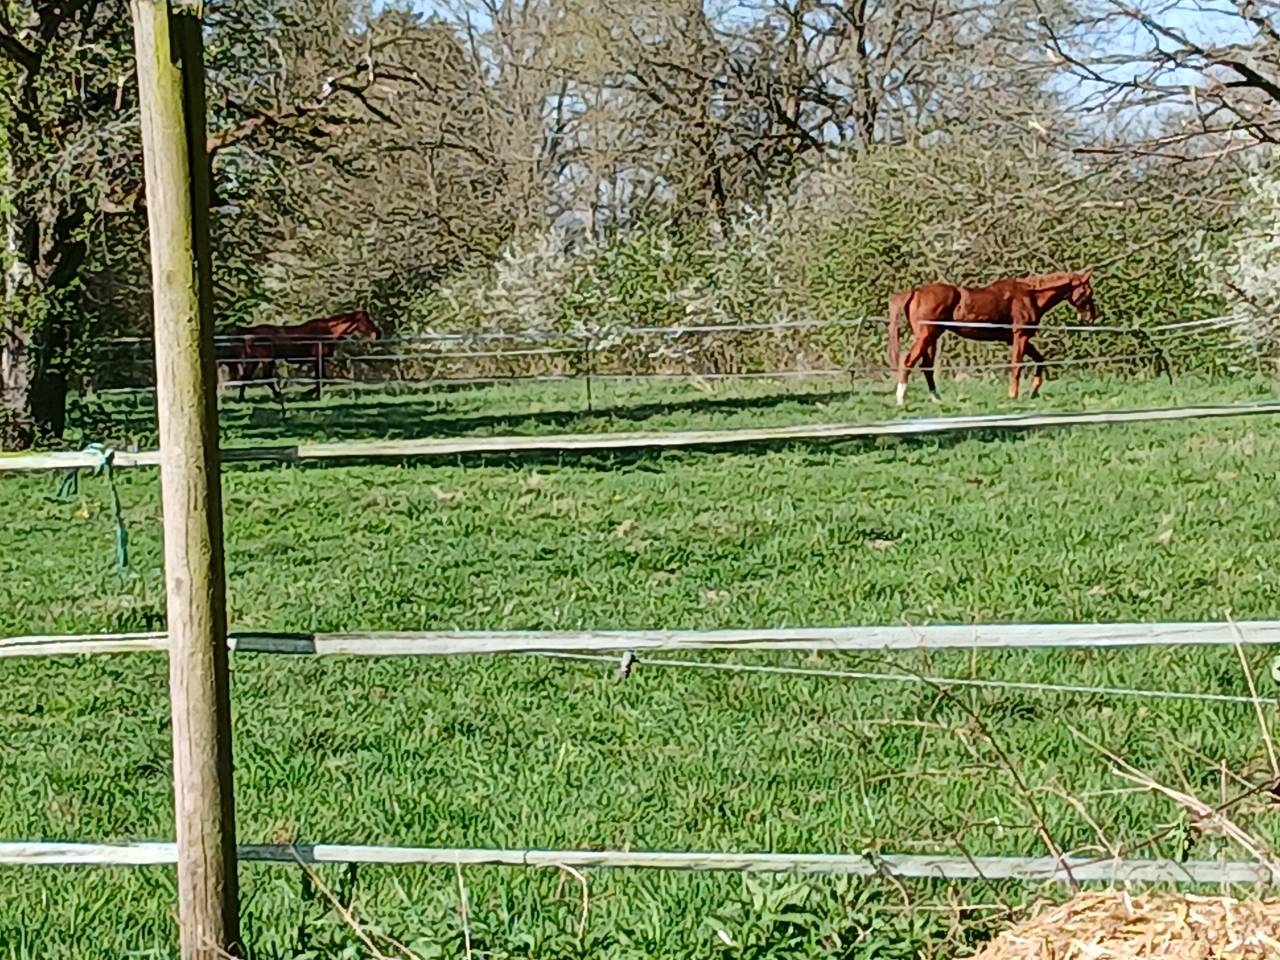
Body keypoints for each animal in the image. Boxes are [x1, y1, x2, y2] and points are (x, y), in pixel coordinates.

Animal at [219, 309, 381, 402]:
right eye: (367, 320)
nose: (378, 334)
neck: (328, 331)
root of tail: (249, 333)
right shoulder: (318, 360)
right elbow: (321, 379)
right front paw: (309, 395)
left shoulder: (318, 361)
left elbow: (322, 379)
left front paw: (312, 395)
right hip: (267, 361)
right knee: (266, 379)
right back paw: (278, 396)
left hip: (255, 361)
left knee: (246, 378)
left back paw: (242, 399)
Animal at [886, 271, 1096, 406]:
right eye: (1088, 291)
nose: (1092, 316)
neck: (1029, 295)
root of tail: (915, 292)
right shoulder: (1020, 336)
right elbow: (1017, 366)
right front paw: (1013, 395)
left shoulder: (1017, 339)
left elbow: (1040, 360)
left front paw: (1034, 391)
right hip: (926, 336)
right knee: (908, 361)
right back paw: (901, 399)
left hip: (932, 338)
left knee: (926, 367)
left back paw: (936, 399)